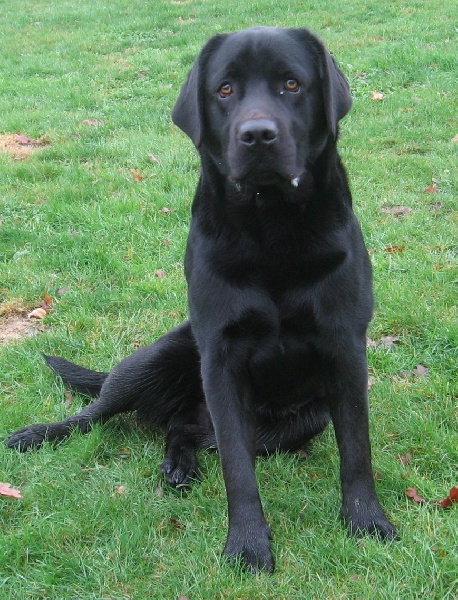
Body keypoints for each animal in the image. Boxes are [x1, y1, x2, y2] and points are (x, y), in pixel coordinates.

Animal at [5, 27, 396, 572]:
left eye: (292, 84)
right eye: (225, 89)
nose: (257, 135)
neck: (271, 229)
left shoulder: (345, 348)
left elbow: (356, 448)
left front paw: (365, 520)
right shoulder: (219, 355)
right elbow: (237, 467)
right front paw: (248, 544)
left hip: (298, 421)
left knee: (183, 427)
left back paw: (179, 464)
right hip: (158, 359)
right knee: (98, 413)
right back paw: (39, 434)